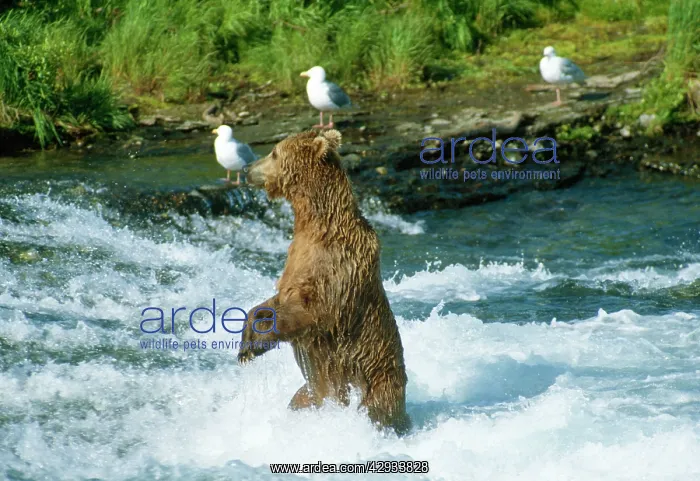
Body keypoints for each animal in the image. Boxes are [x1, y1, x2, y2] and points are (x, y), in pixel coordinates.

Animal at [237, 129, 412, 436]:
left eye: (274, 153)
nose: (246, 169)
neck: (318, 225)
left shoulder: (336, 271)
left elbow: (313, 311)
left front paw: (258, 342)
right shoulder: (296, 261)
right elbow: (271, 302)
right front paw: (246, 344)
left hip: (377, 383)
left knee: (375, 409)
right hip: (309, 395)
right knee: (300, 400)